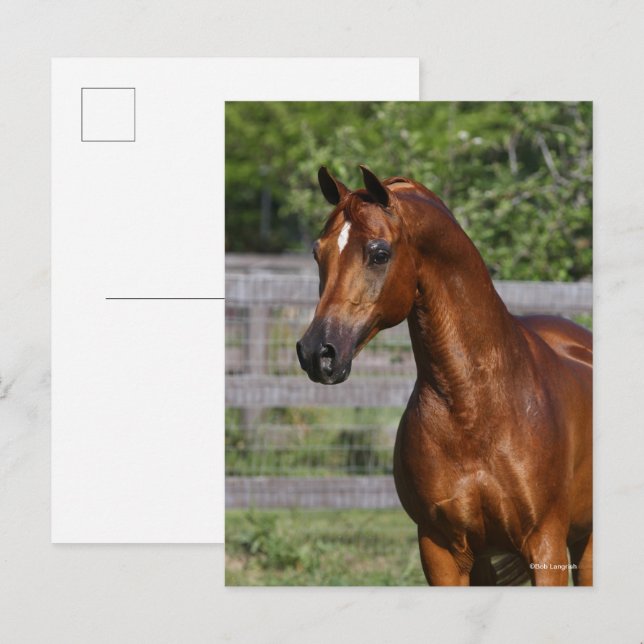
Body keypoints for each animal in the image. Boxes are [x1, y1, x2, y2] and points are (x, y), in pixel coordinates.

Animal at [296, 166, 593, 586]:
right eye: (317, 253)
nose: (316, 352)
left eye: (379, 253)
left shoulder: (545, 543)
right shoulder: (440, 550)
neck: (473, 408)